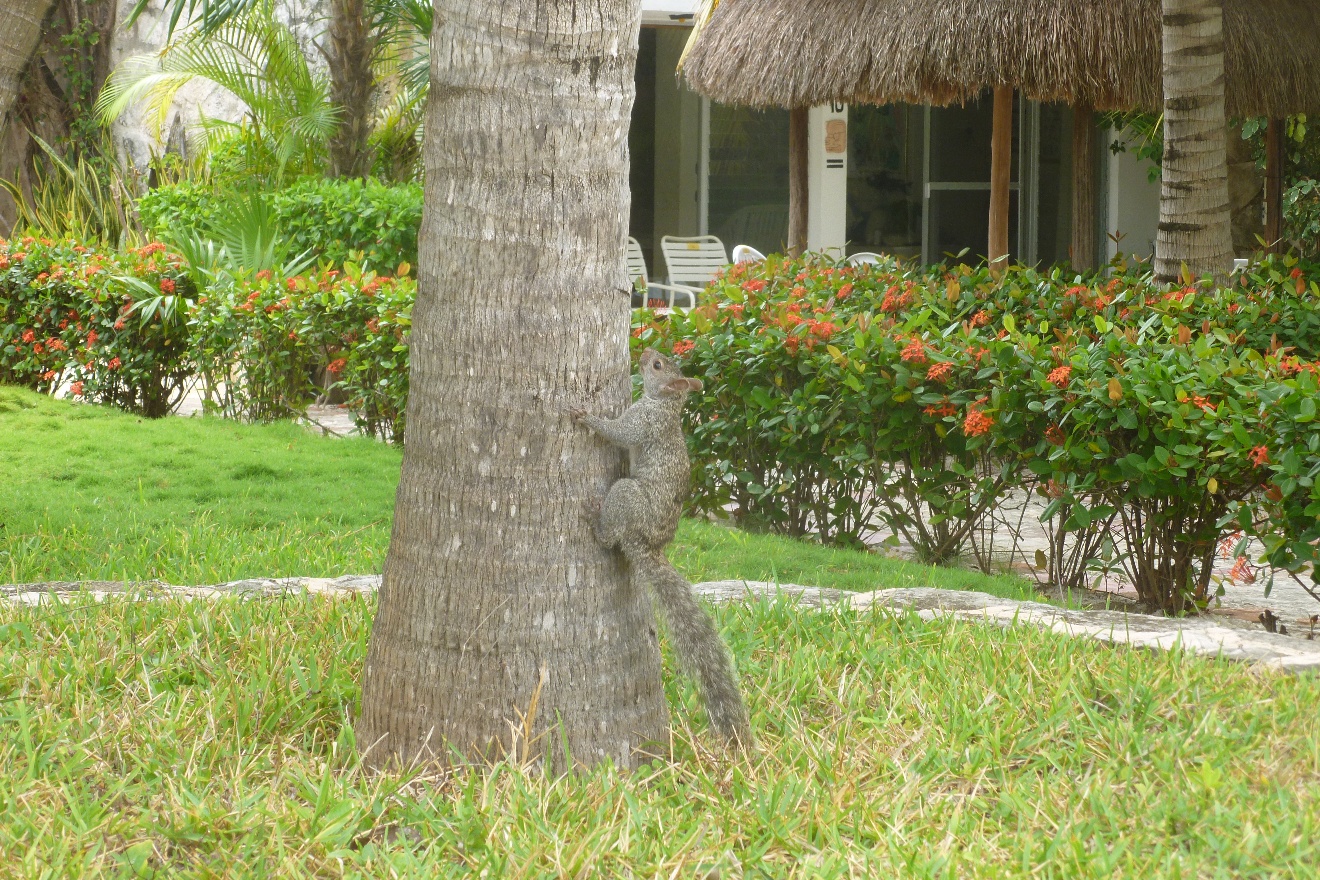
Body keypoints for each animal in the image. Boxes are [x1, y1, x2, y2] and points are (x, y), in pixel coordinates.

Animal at [571, 348, 752, 747]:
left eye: (656, 366)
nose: (646, 352)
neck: (665, 405)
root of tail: (646, 544)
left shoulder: (643, 421)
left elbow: (618, 432)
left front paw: (586, 417)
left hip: (626, 495)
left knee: (611, 537)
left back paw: (595, 522)